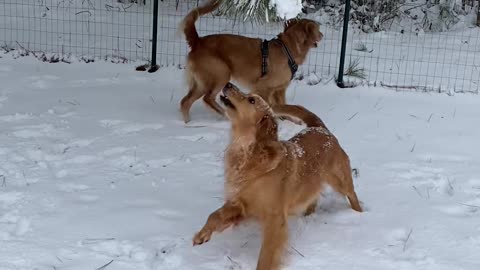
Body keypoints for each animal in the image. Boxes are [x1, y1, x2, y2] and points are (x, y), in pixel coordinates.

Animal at [179, 0, 322, 122]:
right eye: (317, 30)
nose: (322, 35)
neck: (287, 49)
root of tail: (198, 41)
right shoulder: (263, 86)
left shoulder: (280, 89)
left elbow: (284, 107)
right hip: (221, 74)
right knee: (207, 98)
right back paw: (224, 114)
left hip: (201, 83)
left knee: (185, 102)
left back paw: (188, 123)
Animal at [193, 83, 362, 270]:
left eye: (251, 100)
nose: (229, 84)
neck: (248, 153)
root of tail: (319, 127)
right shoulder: (241, 204)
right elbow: (215, 215)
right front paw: (202, 234)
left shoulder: (275, 218)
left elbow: (266, 254)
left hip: (340, 179)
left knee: (352, 195)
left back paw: (360, 215)